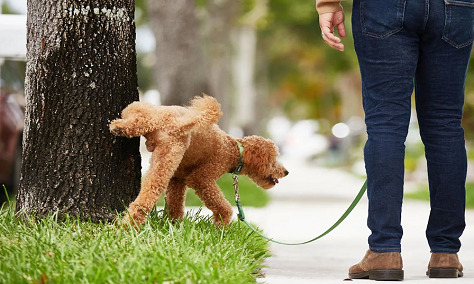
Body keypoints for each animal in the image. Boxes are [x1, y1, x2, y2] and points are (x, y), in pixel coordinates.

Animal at [110, 95, 288, 229]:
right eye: (274, 160)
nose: (286, 172)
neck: (233, 150)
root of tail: (178, 124)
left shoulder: (178, 179)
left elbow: (175, 204)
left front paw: (173, 224)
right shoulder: (202, 178)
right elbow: (222, 206)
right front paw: (220, 225)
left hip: (145, 115)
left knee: (137, 117)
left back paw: (120, 126)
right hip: (166, 162)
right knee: (146, 198)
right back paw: (126, 226)